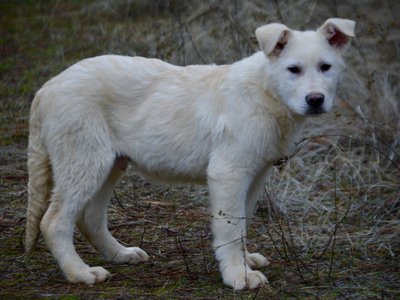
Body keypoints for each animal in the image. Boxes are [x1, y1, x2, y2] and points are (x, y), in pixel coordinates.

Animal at [25, 18, 354, 290]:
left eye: (326, 67)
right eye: (293, 70)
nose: (315, 100)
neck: (266, 91)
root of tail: (46, 88)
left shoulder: (255, 173)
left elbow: (242, 221)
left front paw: (245, 261)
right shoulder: (228, 172)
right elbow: (230, 226)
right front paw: (238, 276)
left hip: (110, 164)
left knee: (90, 217)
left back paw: (120, 254)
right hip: (84, 162)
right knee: (54, 222)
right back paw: (80, 273)